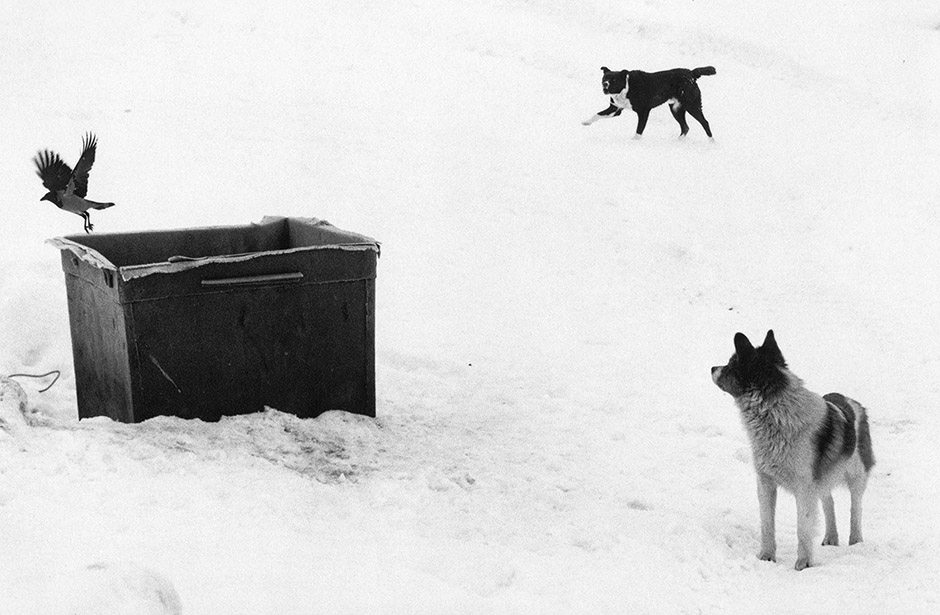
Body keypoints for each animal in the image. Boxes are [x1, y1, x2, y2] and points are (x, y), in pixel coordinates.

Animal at [584, 67, 716, 140]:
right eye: (604, 78)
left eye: (614, 80)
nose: (605, 85)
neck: (627, 88)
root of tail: (691, 73)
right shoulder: (615, 109)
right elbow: (598, 114)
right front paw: (586, 122)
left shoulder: (643, 112)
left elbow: (639, 130)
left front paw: (634, 142)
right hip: (676, 109)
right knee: (685, 127)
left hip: (692, 106)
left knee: (705, 123)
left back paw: (712, 142)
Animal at [712, 332, 872, 572]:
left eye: (731, 364)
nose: (712, 368)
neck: (775, 414)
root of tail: (851, 401)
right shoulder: (765, 483)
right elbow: (767, 524)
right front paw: (766, 557)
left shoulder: (804, 488)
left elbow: (803, 528)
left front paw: (803, 564)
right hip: (823, 479)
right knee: (829, 502)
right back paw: (831, 538)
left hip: (856, 476)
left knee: (856, 508)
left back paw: (855, 542)